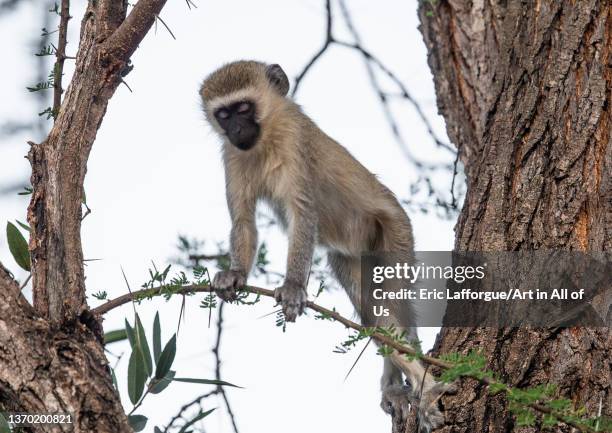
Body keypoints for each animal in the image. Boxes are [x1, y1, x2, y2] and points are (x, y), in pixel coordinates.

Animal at [201, 60, 450, 428]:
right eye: (223, 114)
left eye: (244, 108)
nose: (236, 129)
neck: (266, 137)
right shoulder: (232, 155)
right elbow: (243, 221)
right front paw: (234, 274)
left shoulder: (295, 141)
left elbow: (303, 213)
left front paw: (292, 286)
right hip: (350, 258)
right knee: (372, 313)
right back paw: (395, 384)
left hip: (395, 233)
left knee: (393, 307)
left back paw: (424, 387)